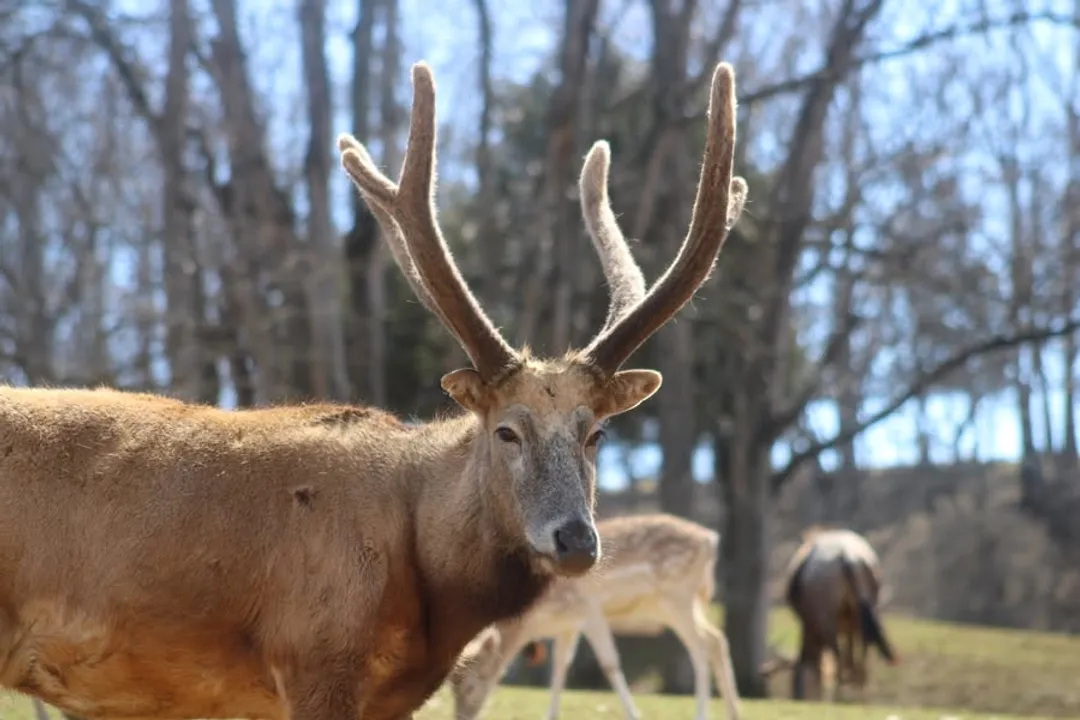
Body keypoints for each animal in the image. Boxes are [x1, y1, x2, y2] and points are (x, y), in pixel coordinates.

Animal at [449, 514, 741, 720]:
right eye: (451, 686)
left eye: (469, 685)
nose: (462, 717)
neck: (537, 621)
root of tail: (711, 541)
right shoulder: (567, 625)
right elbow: (560, 665)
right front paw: (549, 715)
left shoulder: (589, 610)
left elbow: (609, 663)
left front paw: (634, 714)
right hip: (677, 604)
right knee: (716, 638)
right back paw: (733, 712)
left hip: (678, 597)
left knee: (700, 646)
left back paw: (702, 714)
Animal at [779, 527, 899, 702]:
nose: (798, 697)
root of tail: (848, 555)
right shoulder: (849, 627)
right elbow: (851, 659)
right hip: (862, 617)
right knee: (861, 661)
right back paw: (859, 695)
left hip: (829, 622)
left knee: (839, 659)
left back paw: (838, 695)